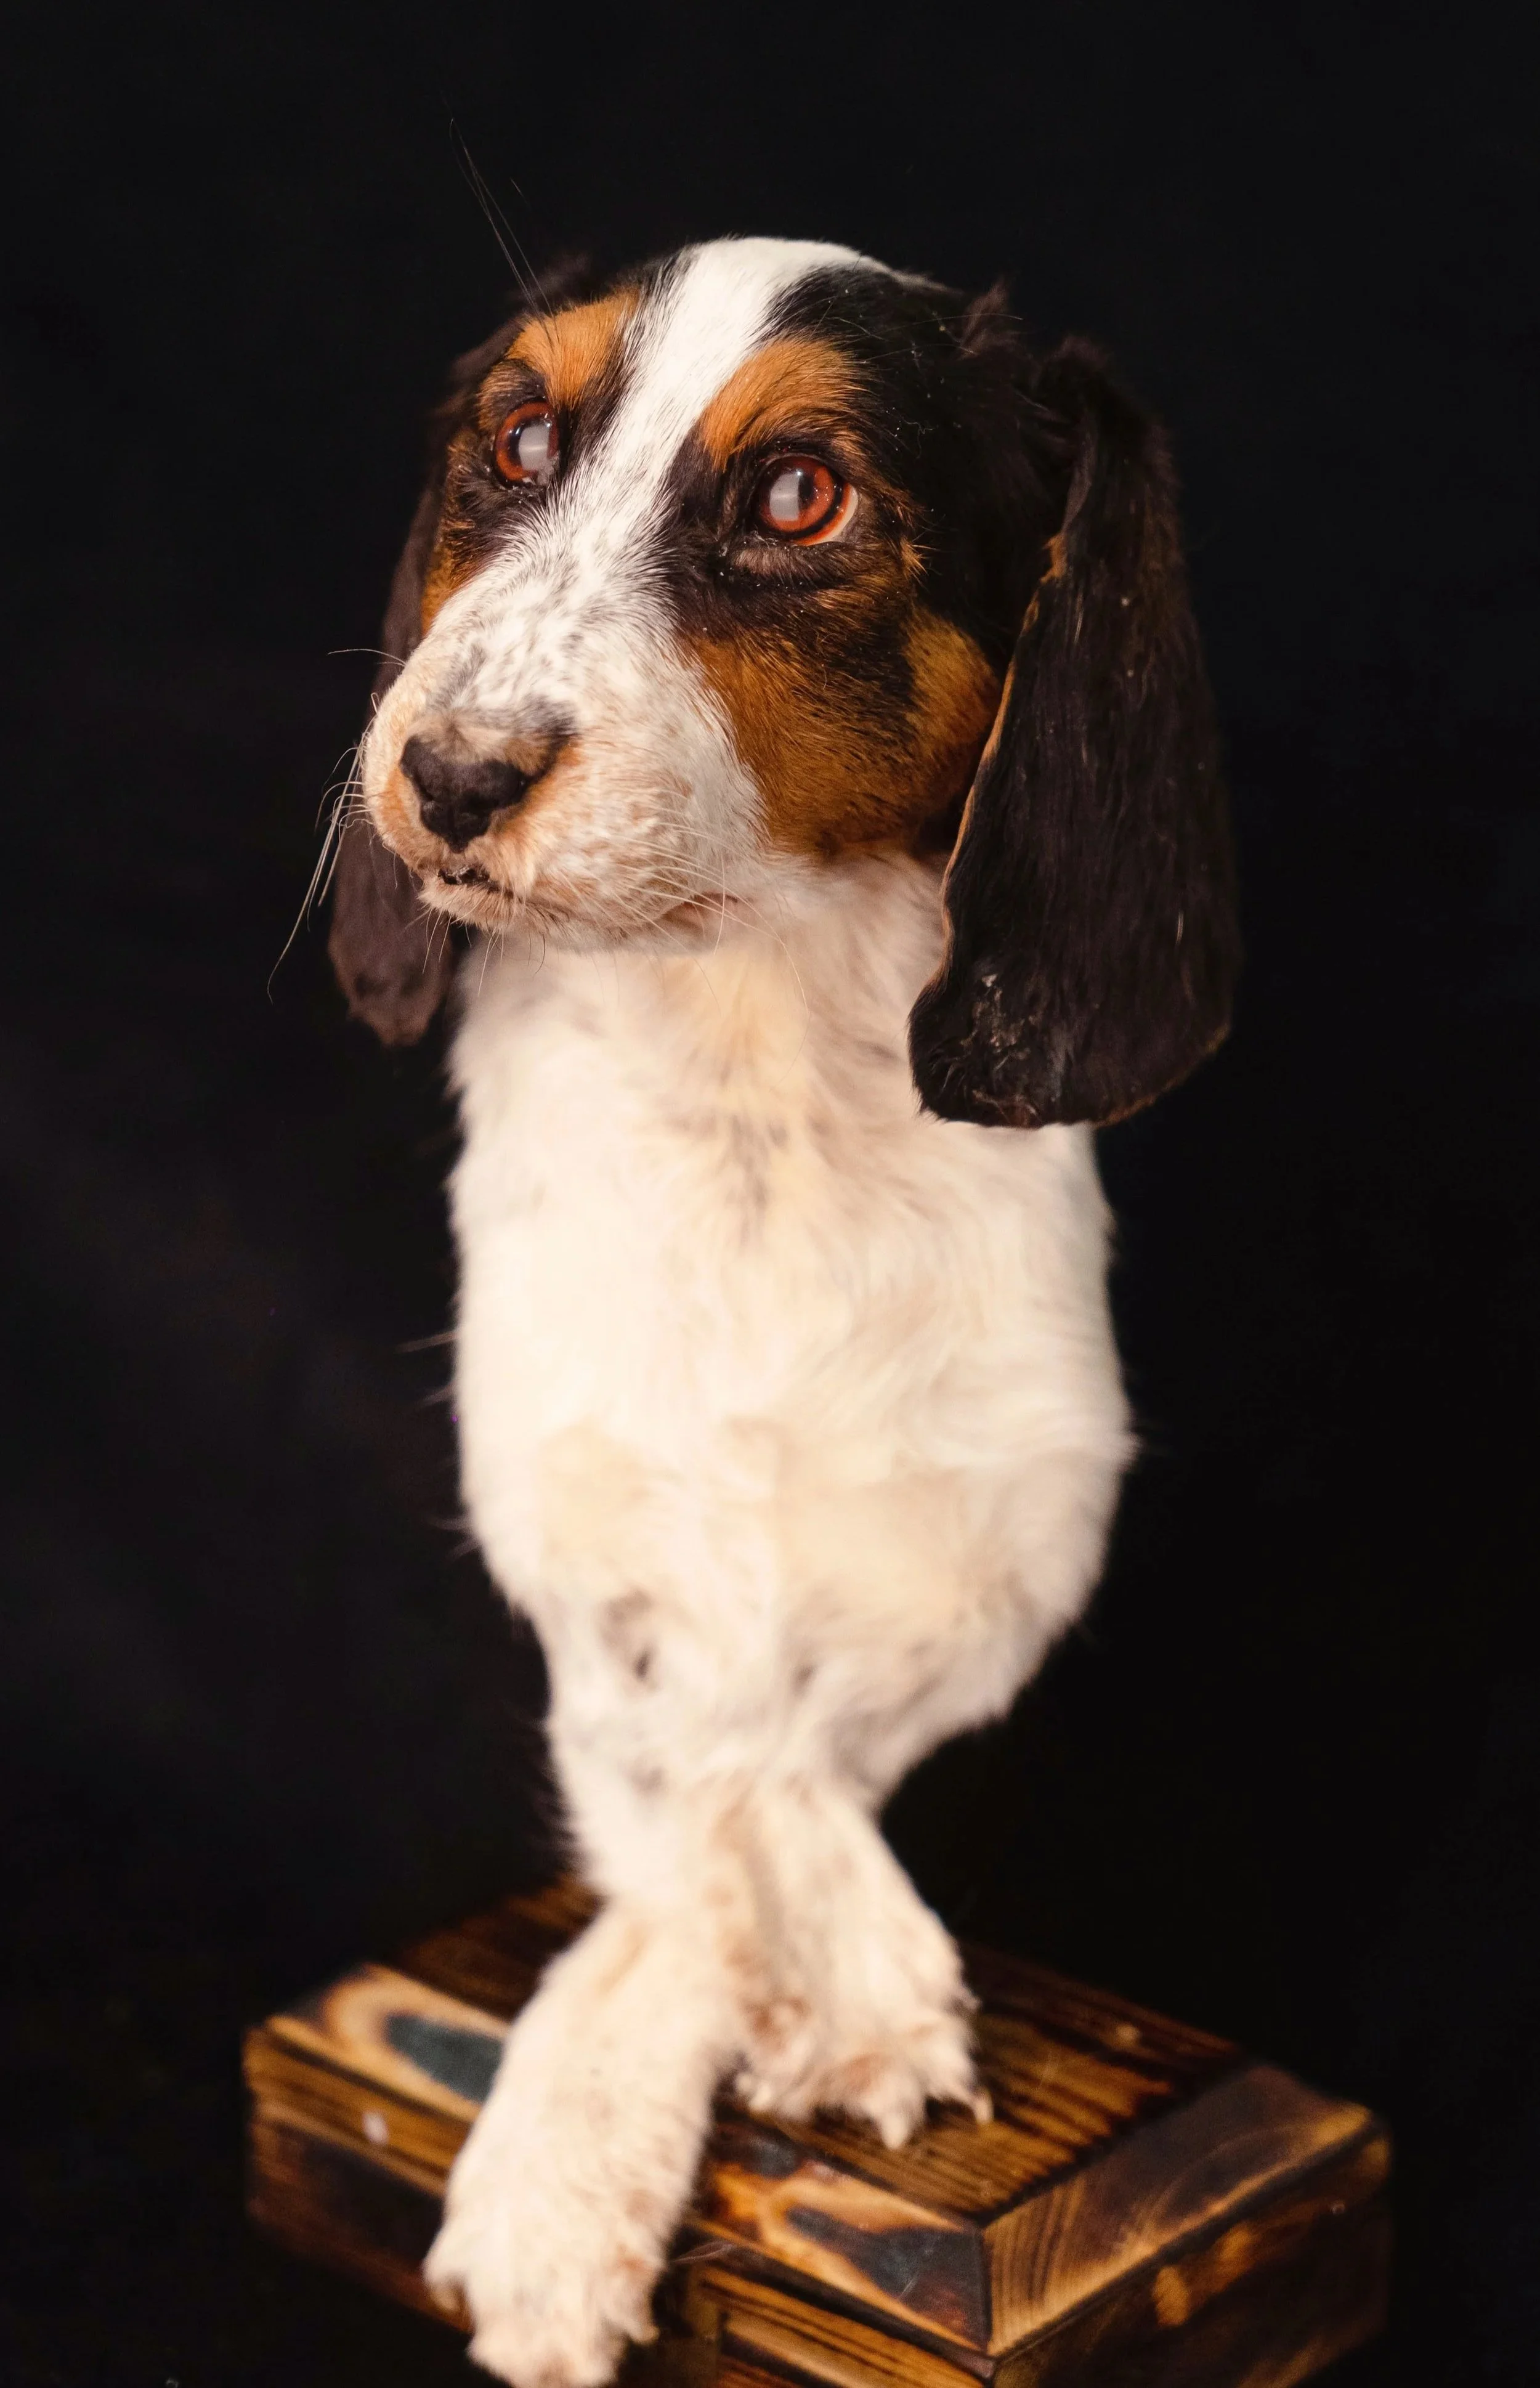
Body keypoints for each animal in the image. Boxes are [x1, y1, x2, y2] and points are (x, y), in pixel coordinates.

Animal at [328, 236, 1237, 2387]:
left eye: (800, 496)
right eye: (516, 439)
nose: (440, 772)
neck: (751, 1087)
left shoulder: (1029, 1520)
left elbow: (805, 1740)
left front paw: (852, 1991)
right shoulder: (567, 1534)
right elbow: (680, 1782)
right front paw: (567, 2163)